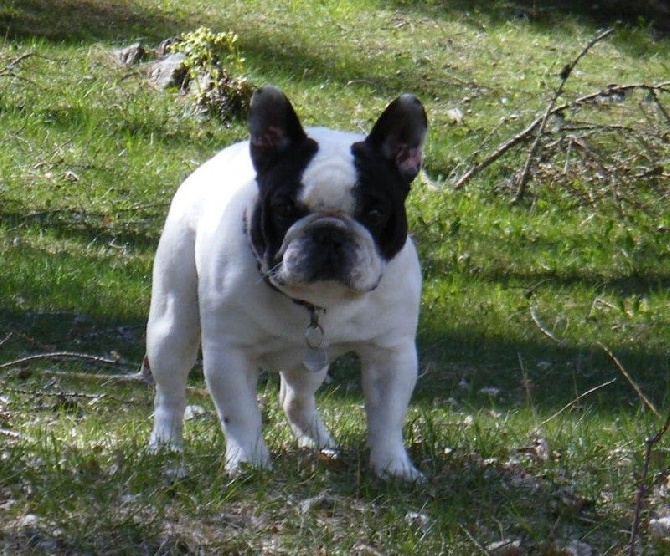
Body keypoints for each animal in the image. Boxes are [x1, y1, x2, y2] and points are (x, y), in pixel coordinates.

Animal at [146, 87, 430, 482]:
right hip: (172, 322)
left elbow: (388, 418)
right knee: (170, 388)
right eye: (284, 208)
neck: (317, 304)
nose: (329, 232)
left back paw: (320, 443)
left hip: (312, 363)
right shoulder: (229, 353)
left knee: (296, 398)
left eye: (375, 213)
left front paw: (394, 468)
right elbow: (240, 414)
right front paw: (249, 462)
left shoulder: (390, 353)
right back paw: (165, 444)